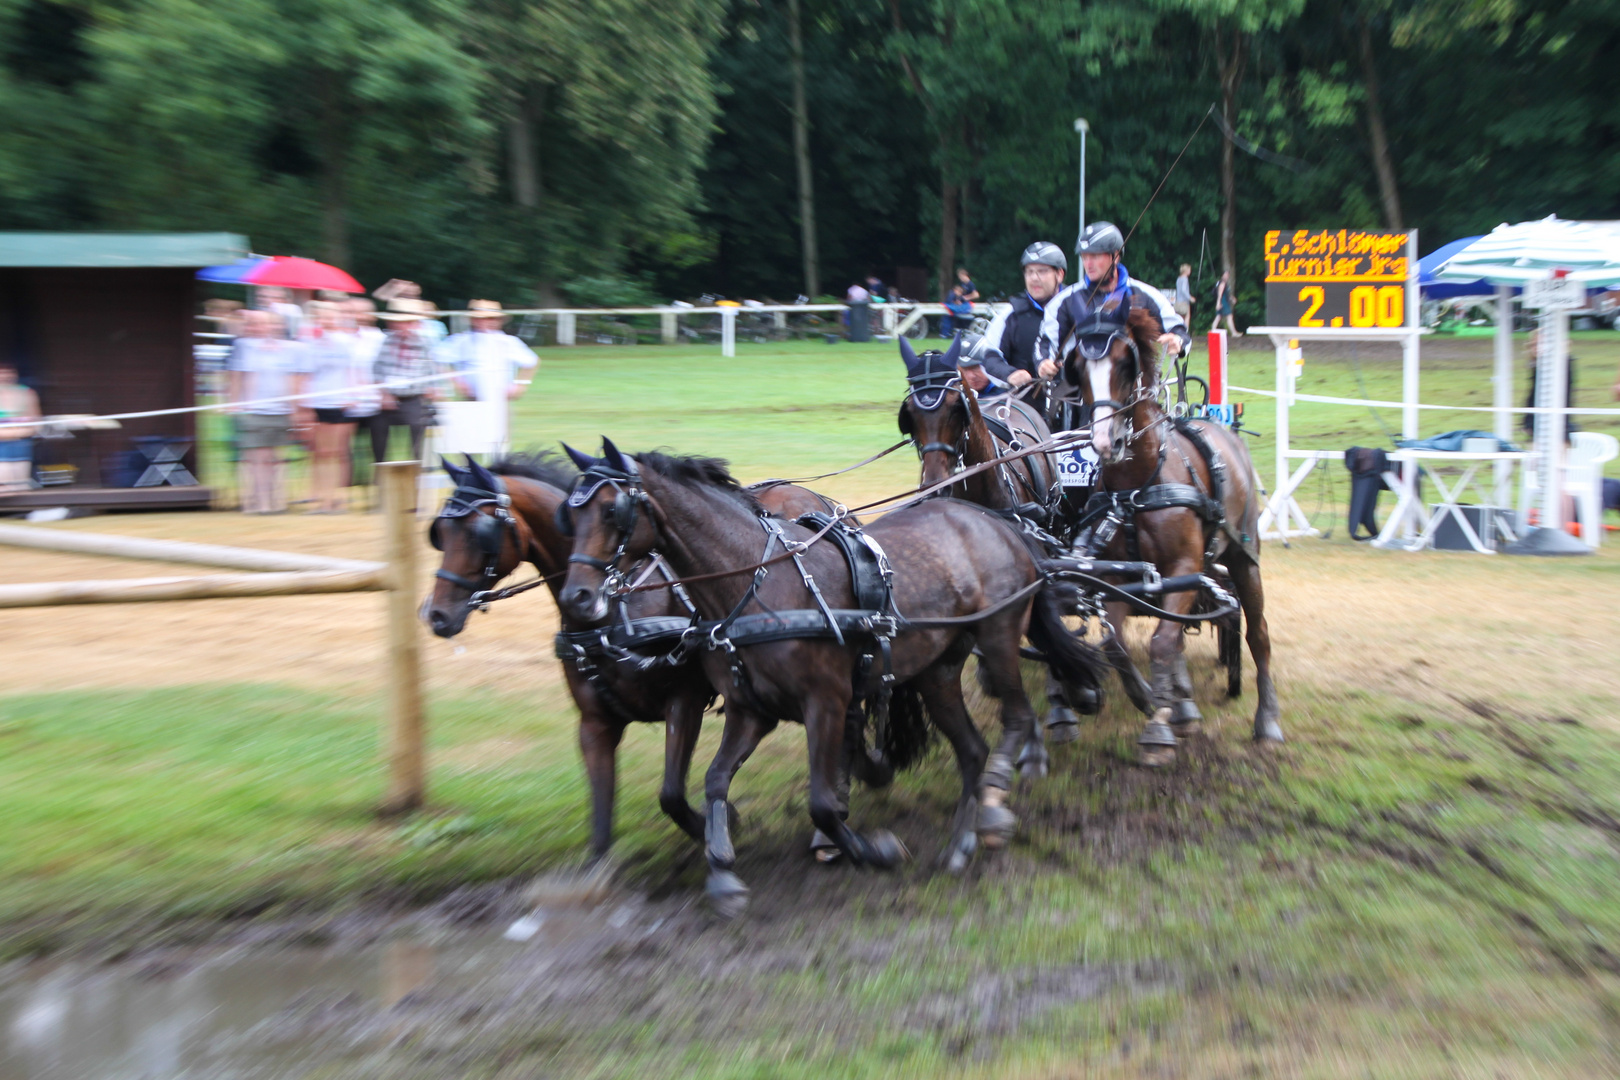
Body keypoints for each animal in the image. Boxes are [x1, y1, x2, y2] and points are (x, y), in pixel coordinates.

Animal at [424, 453, 842, 861]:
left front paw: (726, 824)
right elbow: (600, 821)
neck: (616, 613)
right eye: (440, 532)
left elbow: (671, 795)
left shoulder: (685, 699)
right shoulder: (595, 723)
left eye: (480, 532)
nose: (436, 615)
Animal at [1069, 299, 1283, 764]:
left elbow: (1163, 643)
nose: (1105, 441)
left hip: (1244, 558)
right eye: (1076, 367)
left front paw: (1158, 729)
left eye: (1125, 363)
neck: (1137, 485)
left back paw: (1267, 720)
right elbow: (1119, 647)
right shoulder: (1118, 577)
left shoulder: (1185, 565)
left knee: (1257, 633)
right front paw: (1154, 699)